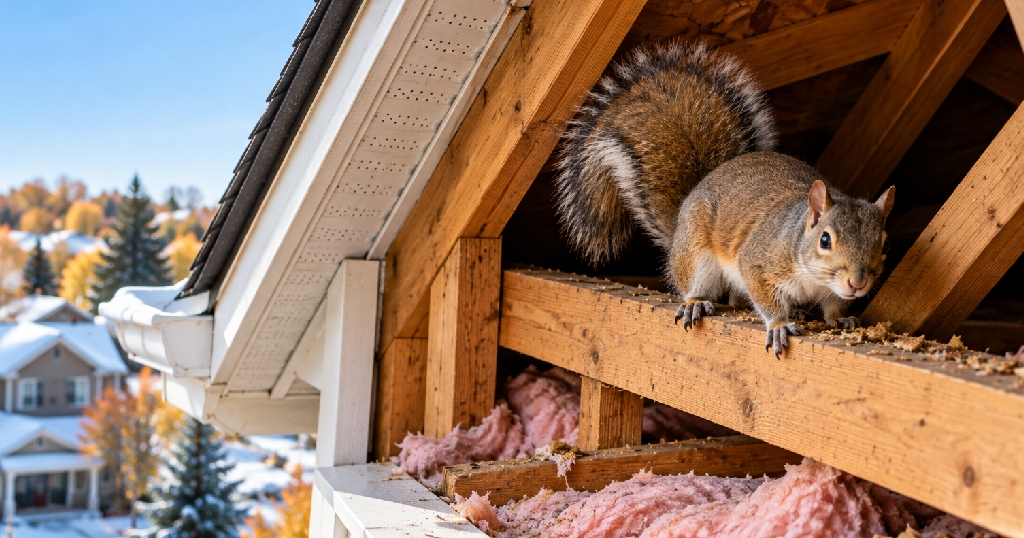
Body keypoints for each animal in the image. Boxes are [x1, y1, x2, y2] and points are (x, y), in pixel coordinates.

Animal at [554, 43, 895, 357]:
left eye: (884, 244)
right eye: (825, 240)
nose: (857, 283)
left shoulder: (832, 291)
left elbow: (834, 305)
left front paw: (840, 319)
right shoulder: (759, 262)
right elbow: (766, 297)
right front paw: (778, 324)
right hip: (696, 254)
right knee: (693, 283)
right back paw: (696, 302)